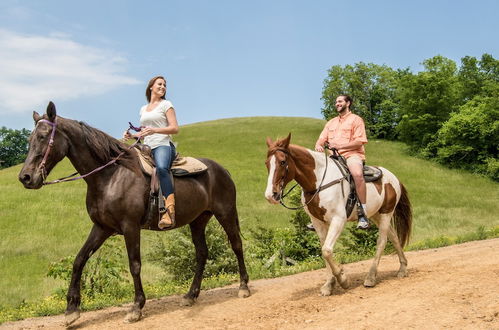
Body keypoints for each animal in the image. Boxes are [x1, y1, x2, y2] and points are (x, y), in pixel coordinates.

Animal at [19, 102, 250, 324]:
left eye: (43, 137)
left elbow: (135, 265)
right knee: (202, 253)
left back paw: (243, 287)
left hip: (225, 213)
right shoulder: (101, 228)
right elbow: (79, 260)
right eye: (30, 139)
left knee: (236, 245)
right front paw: (71, 311)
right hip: (198, 221)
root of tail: (222, 170)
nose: (25, 177)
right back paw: (191, 295)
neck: (110, 176)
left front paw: (136, 307)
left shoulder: (130, 227)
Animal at [266, 134, 414, 294]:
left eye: (282, 162)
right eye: (267, 163)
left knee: (382, 241)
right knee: (394, 237)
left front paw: (343, 279)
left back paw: (371, 278)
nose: (270, 195)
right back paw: (402, 268)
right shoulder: (318, 222)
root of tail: (394, 177)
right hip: (376, 214)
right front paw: (329, 285)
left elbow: (326, 250)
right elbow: (324, 250)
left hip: (387, 212)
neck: (319, 182)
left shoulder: (338, 219)